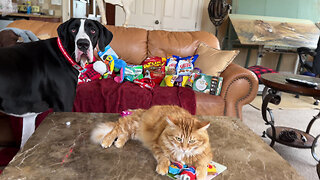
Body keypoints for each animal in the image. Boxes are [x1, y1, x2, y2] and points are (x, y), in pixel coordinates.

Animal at [0, 18, 114, 147]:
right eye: (73, 29)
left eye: (93, 30)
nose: (83, 44)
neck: (63, 55)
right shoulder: (63, 107)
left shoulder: (30, 115)